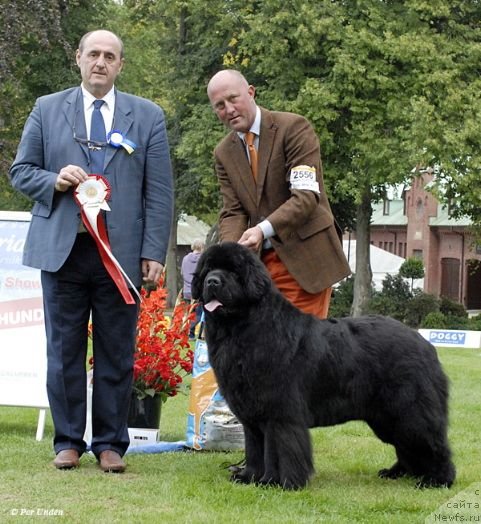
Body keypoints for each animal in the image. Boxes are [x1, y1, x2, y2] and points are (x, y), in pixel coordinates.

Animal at [191, 244, 454, 490]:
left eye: (233, 271)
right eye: (207, 270)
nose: (212, 281)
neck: (240, 328)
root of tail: (425, 344)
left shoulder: (280, 412)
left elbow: (278, 449)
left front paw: (279, 483)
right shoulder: (252, 416)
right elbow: (255, 449)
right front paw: (249, 477)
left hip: (409, 410)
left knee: (432, 443)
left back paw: (437, 480)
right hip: (387, 418)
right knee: (407, 446)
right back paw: (397, 472)